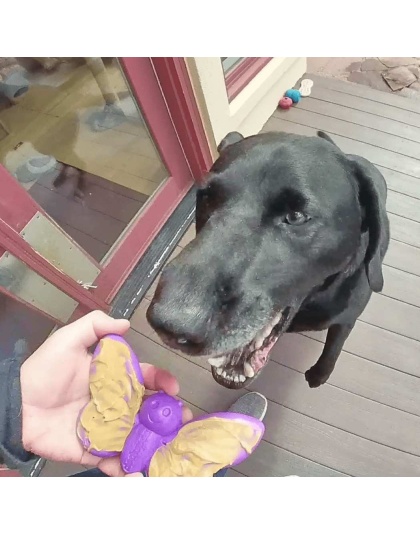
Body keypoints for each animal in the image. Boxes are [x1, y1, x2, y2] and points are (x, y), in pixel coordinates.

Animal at [148, 130, 390, 390]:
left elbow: (333, 347)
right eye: (207, 197)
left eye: (296, 216)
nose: (170, 326)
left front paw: (319, 374)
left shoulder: (347, 318)